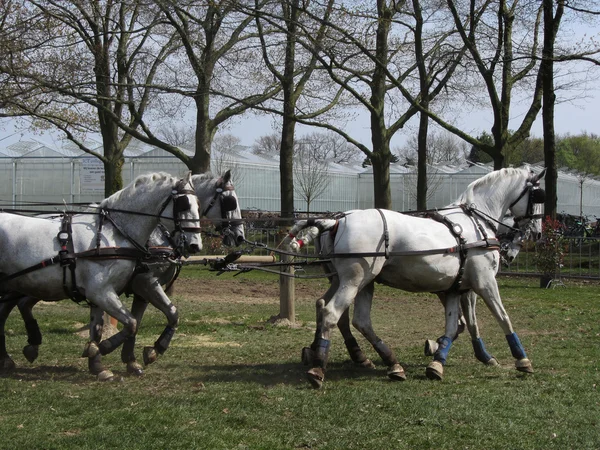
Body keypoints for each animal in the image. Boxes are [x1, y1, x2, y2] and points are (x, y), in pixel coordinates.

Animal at [1, 171, 244, 378]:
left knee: (14, 307)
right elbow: (132, 323)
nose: (240, 236)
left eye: (198, 205)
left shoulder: (119, 291)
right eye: (230, 202)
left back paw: (19, 353)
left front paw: (118, 360)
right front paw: (107, 351)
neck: (114, 233)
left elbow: (152, 318)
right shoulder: (127, 286)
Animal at [284, 165, 544, 386]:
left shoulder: (455, 287)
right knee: (332, 312)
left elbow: (455, 325)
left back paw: (385, 362)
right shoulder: (483, 282)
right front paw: (521, 360)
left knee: (349, 316)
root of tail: (336, 221)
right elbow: (501, 317)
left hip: (358, 281)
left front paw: (438, 359)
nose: (537, 233)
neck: (476, 222)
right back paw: (319, 368)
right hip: (354, 281)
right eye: (539, 196)